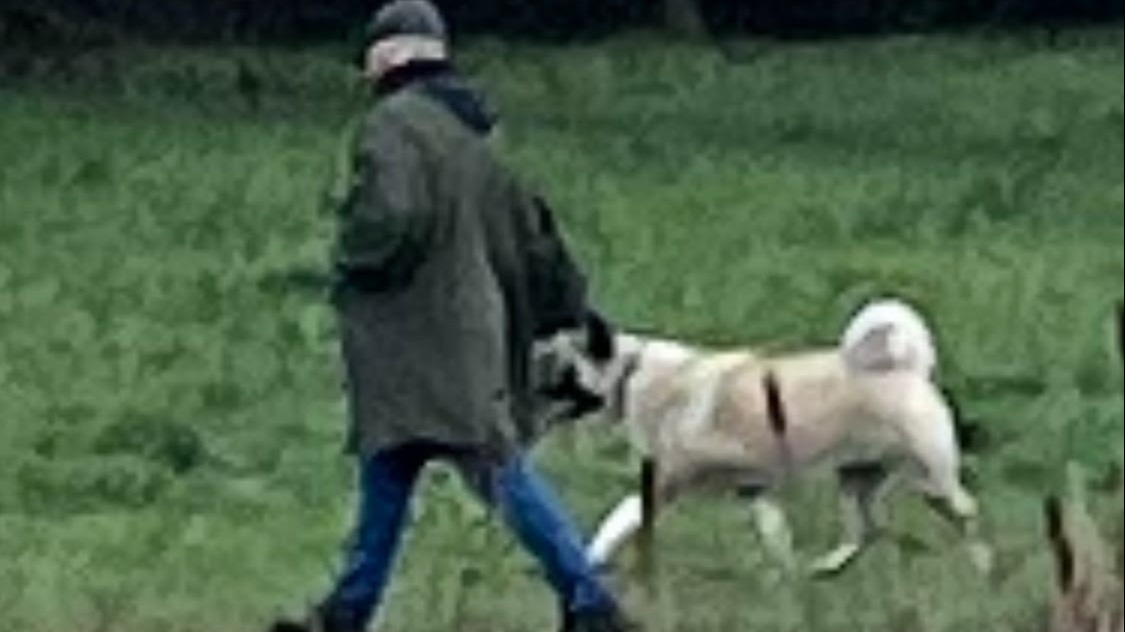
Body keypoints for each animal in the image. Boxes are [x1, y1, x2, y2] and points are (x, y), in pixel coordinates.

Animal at [551, 298, 993, 579]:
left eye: (559, 370)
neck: (631, 374)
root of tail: (908, 368)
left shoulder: (664, 481)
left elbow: (617, 519)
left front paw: (589, 559)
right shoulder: (755, 489)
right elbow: (776, 534)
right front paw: (788, 580)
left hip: (930, 479)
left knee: (966, 513)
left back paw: (985, 569)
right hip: (855, 480)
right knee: (864, 531)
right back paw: (826, 569)